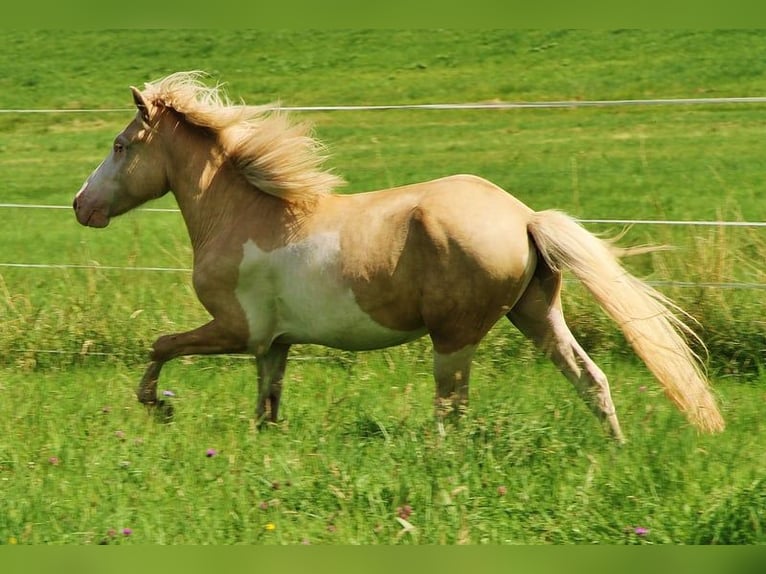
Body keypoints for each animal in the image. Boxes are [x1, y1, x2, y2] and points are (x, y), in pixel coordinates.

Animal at [72, 71, 728, 440]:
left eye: (120, 145)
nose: (81, 206)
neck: (243, 214)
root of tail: (522, 217)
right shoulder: (274, 343)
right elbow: (266, 406)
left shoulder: (237, 329)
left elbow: (161, 345)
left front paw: (157, 406)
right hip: (537, 315)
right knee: (590, 379)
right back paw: (615, 451)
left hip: (454, 337)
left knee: (452, 410)